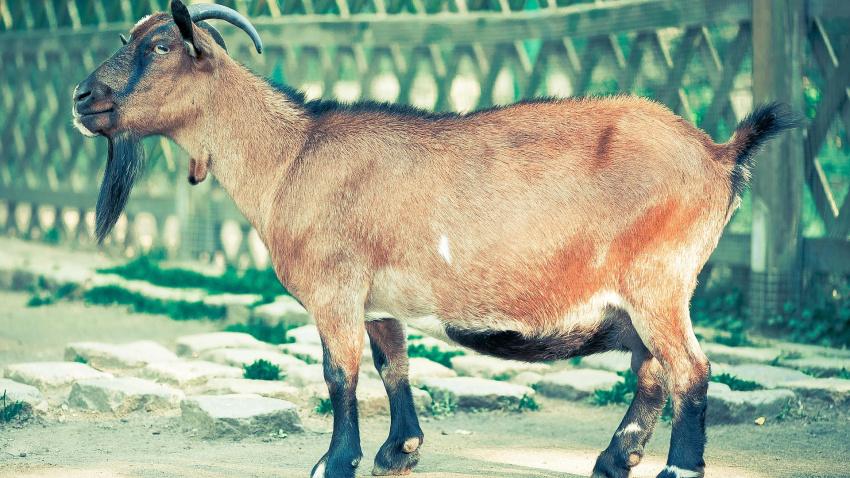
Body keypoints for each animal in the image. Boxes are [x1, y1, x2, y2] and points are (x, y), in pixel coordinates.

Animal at [72, 2, 798, 477]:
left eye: (159, 48)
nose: (81, 97)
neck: (290, 155)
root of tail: (719, 153)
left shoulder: (335, 289)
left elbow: (339, 373)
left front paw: (334, 461)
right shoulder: (379, 298)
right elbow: (393, 365)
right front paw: (401, 451)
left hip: (659, 279)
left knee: (689, 371)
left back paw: (677, 468)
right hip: (648, 293)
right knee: (650, 370)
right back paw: (613, 460)